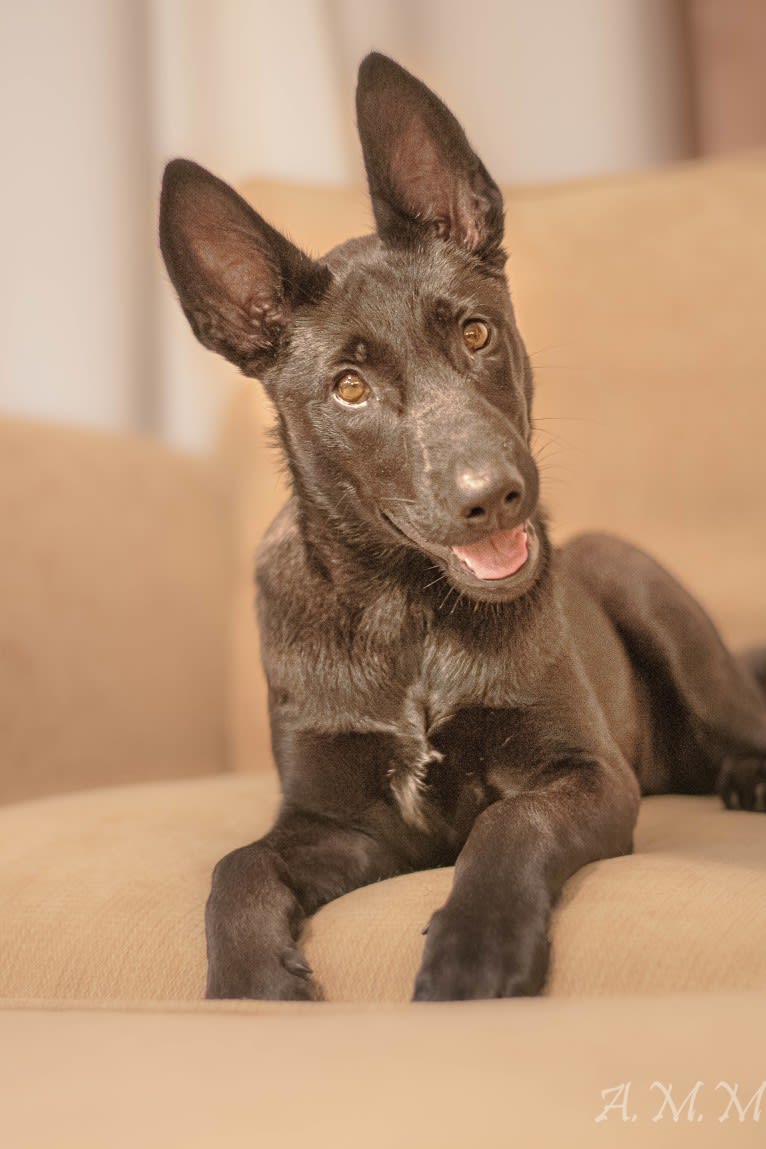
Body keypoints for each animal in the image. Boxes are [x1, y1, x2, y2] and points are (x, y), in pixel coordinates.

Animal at [160, 54, 766, 1001]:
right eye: (350, 388)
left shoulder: (587, 774)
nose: (495, 497)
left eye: (477, 332)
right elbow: (239, 863)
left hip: (637, 580)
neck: (407, 613)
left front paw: (475, 949)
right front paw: (253, 986)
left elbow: (508, 827)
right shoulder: (347, 826)